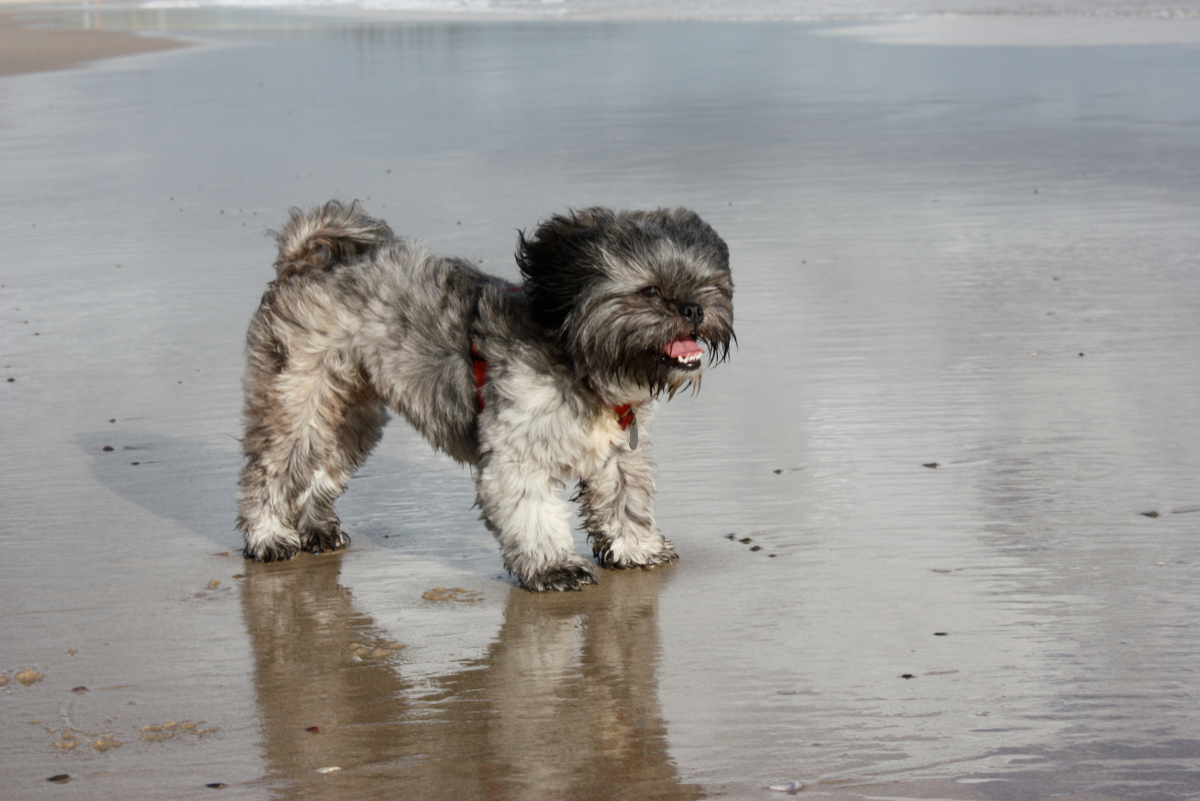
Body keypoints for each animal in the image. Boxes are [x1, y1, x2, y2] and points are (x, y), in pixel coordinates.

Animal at [236, 199, 729, 587]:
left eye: (708, 284)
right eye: (650, 291)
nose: (694, 309)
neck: (578, 361)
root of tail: (304, 262)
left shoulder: (618, 454)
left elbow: (626, 501)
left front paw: (636, 547)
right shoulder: (516, 453)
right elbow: (533, 512)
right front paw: (553, 567)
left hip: (349, 416)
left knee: (319, 468)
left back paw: (316, 531)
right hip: (298, 403)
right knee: (271, 471)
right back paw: (269, 536)